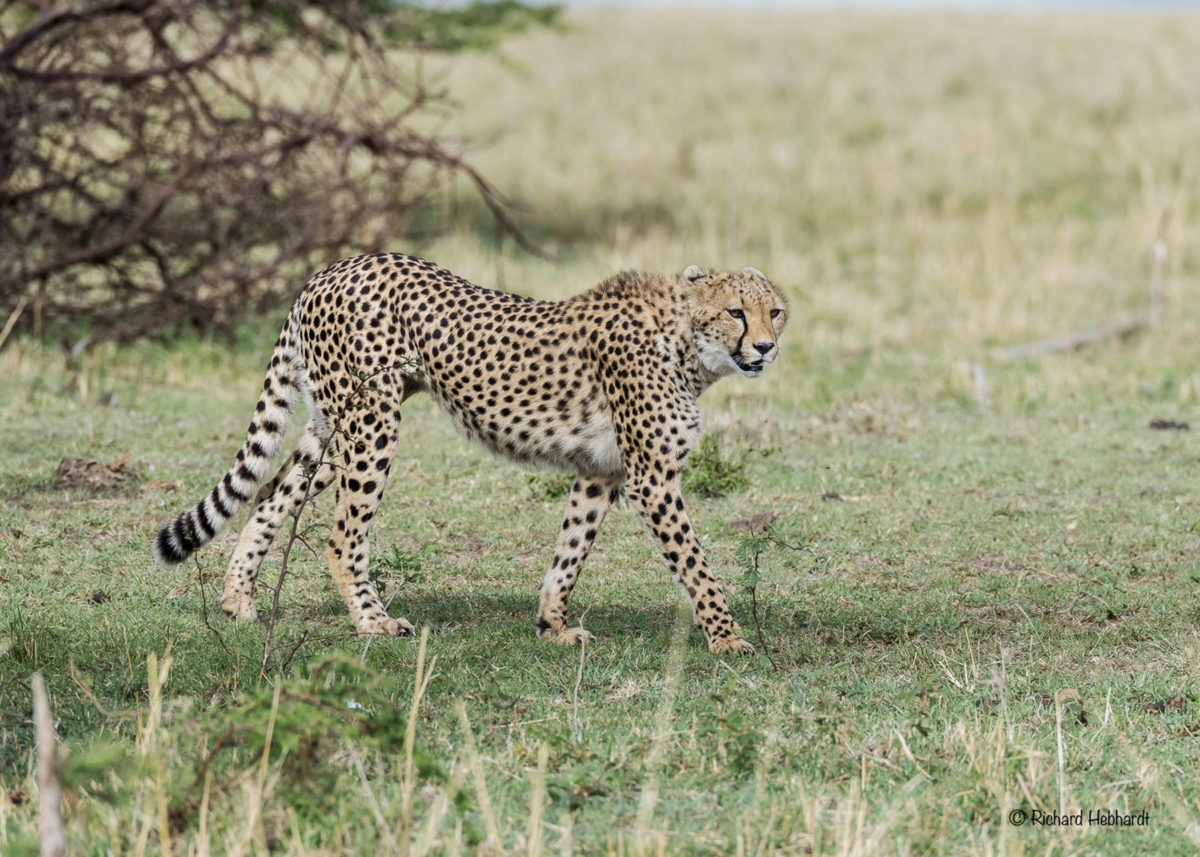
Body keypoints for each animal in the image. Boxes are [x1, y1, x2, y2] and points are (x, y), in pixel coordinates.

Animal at [150, 250, 787, 652]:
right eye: (736, 311)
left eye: (775, 311)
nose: (766, 347)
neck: (686, 344)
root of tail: (332, 268)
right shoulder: (651, 477)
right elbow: (696, 564)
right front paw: (728, 637)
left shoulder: (599, 471)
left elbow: (570, 552)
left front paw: (551, 626)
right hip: (373, 421)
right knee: (341, 533)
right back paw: (372, 623)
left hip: (331, 427)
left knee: (270, 493)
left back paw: (237, 599)